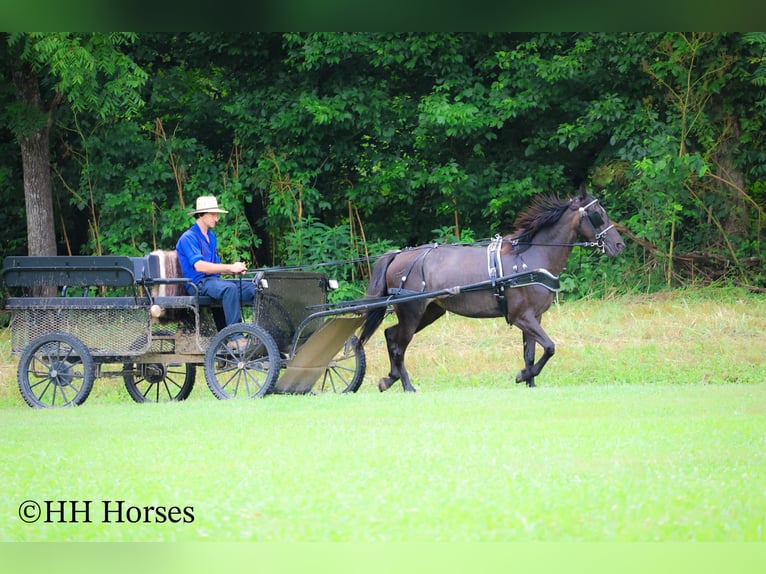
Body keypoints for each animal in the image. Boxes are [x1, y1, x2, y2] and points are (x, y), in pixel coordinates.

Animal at [358, 187, 625, 391]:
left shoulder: (533, 317)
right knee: (399, 345)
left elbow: (530, 353)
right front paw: (522, 376)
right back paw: (407, 385)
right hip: (412, 311)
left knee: (391, 335)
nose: (619, 245)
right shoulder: (522, 317)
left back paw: (389, 379)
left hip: (430, 311)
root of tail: (398, 255)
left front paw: (530, 382)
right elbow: (549, 347)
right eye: (597, 214)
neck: (530, 257)